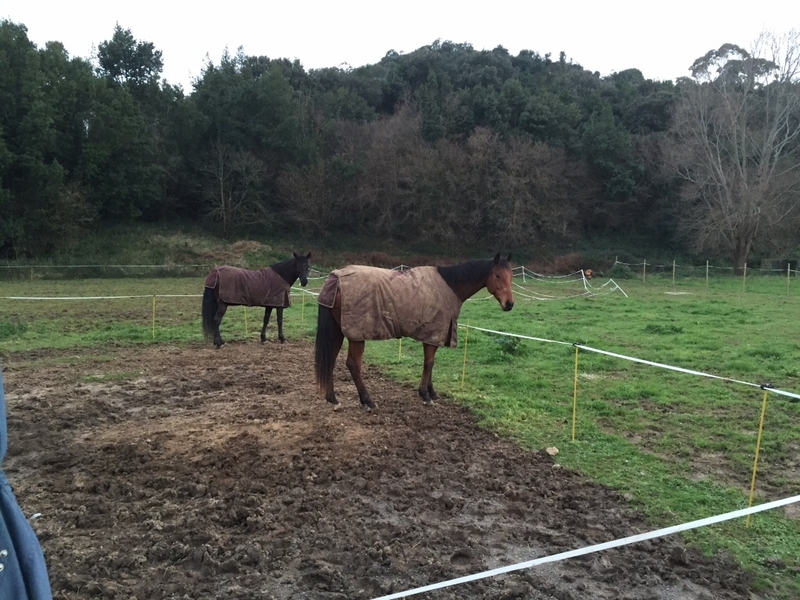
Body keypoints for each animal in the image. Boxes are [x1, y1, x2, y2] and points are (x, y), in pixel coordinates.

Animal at [315, 253, 514, 409]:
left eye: (511, 276)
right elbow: (429, 363)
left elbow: (431, 363)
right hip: (357, 335)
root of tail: (335, 278)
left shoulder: (434, 335)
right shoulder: (433, 333)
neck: (449, 287)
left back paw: (333, 399)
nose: (509, 304)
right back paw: (367, 400)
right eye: (497, 275)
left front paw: (432, 392)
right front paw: (425, 394)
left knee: (331, 359)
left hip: (338, 331)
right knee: (353, 365)